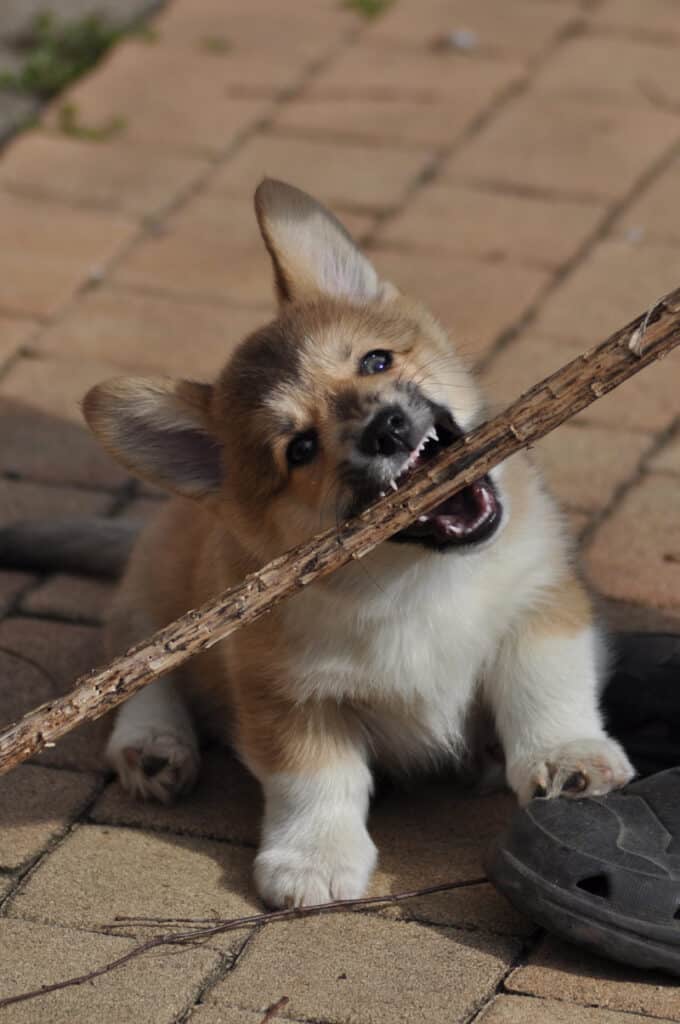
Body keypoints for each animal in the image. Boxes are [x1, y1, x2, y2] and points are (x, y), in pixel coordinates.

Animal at [78, 180, 630, 909]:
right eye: (300, 449)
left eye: (375, 360)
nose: (387, 426)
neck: (415, 576)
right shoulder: (288, 695)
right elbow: (315, 779)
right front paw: (313, 860)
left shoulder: (539, 604)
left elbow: (545, 687)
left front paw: (568, 758)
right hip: (157, 599)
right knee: (138, 672)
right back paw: (154, 746)